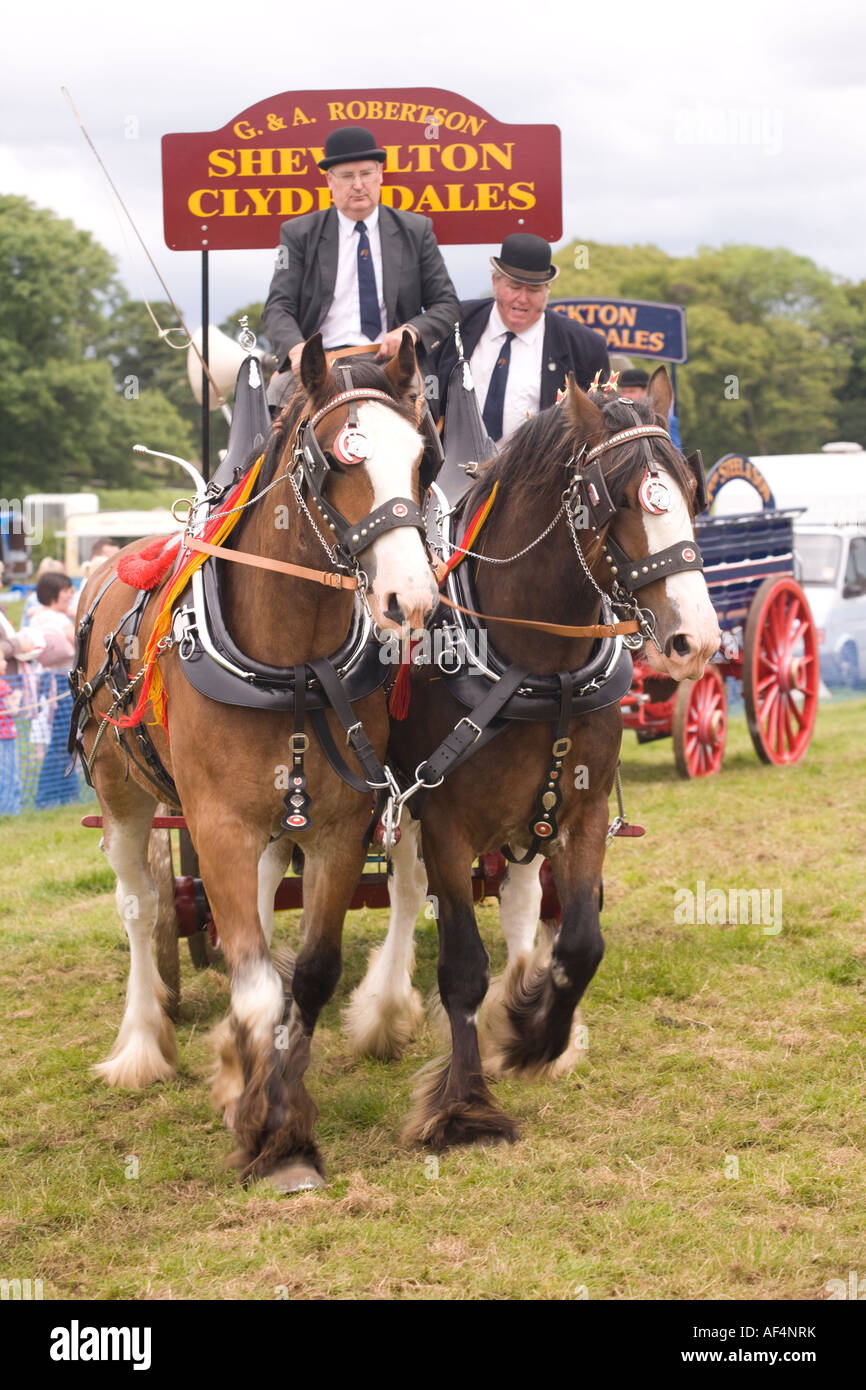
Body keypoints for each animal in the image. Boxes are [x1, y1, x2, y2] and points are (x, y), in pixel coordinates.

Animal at [73, 332, 439, 1191]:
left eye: (424, 459)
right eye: (338, 461)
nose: (413, 603)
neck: (294, 662)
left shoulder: (338, 826)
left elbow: (305, 975)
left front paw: (278, 1111)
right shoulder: (217, 826)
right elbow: (249, 975)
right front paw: (270, 1135)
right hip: (122, 792)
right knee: (140, 905)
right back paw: (141, 1041)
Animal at [345, 368, 721, 1148]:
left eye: (689, 491)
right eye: (619, 497)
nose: (695, 639)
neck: (538, 663)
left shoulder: (580, 811)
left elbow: (581, 942)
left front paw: (530, 1031)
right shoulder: (444, 821)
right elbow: (460, 964)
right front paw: (464, 1107)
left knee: (518, 893)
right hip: (403, 802)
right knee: (405, 891)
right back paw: (385, 1009)